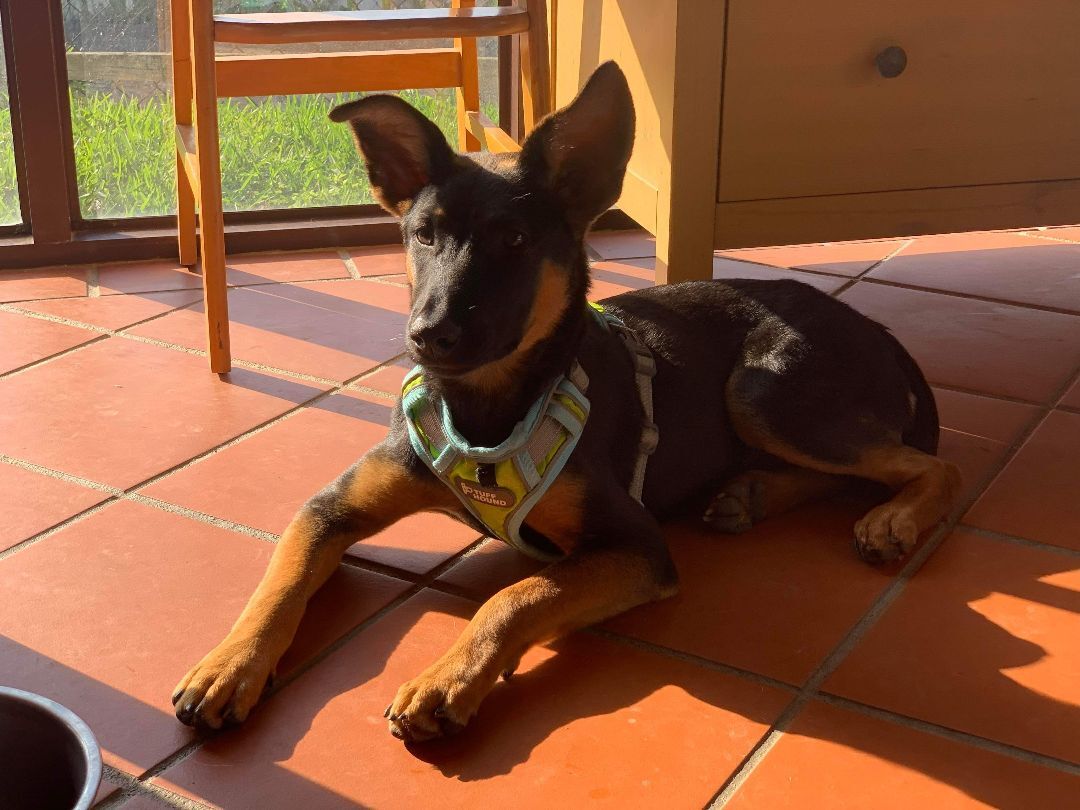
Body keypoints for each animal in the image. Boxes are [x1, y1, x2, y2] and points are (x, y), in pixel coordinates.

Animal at [172, 62, 960, 742]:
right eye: (422, 234)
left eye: (516, 240)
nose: (428, 336)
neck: (488, 409)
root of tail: (879, 330)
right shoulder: (330, 509)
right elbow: (281, 579)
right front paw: (227, 666)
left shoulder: (637, 548)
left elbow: (518, 593)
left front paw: (448, 678)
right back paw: (749, 494)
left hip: (762, 388)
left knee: (928, 466)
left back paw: (889, 519)